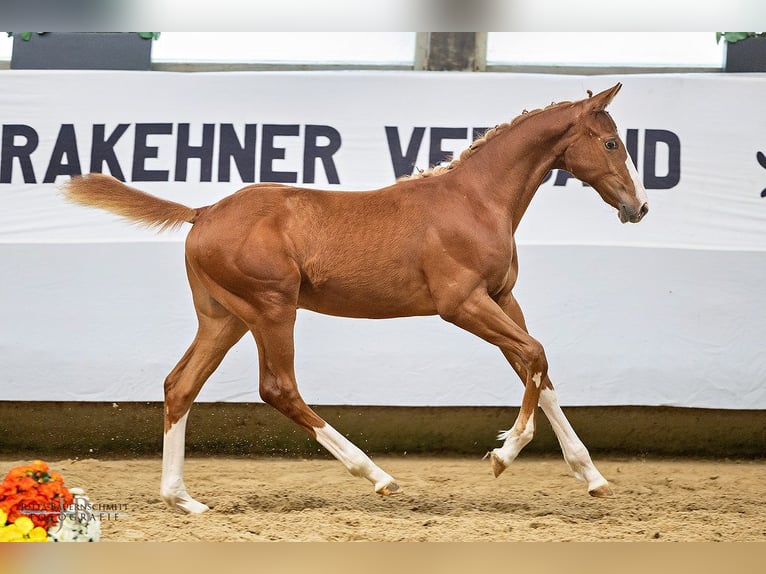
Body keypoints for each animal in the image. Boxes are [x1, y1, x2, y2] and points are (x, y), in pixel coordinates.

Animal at [63, 83, 648, 516]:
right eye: (611, 143)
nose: (638, 207)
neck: (476, 201)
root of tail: (202, 213)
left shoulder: (503, 298)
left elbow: (538, 368)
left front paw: (592, 476)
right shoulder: (461, 303)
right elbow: (534, 355)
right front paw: (504, 454)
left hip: (224, 317)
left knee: (180, 385)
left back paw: (182, 499)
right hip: (271, 309)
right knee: (278, 388)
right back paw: (377, 476)